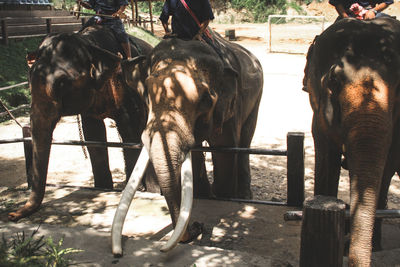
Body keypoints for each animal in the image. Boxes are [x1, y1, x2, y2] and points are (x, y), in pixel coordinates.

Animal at [6, 25, 153, 222]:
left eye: (62, 84)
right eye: (28, 81)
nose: (12, 215)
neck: (89, 43)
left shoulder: (127, 86)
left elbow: (129, 130)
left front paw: (139, 189)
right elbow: (93, 134)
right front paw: (102, 188)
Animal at [111, 29, 264, 255]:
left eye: (206, 100)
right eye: (147, 93)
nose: (197, 226)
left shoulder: (230, 106)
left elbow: (223, 148)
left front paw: (222, 197)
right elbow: (195, 151)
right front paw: (204, 196)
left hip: (256, 97)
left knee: (245, 139)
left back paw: (244, 196)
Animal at [304, 17, 400, 266]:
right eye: (334, 81)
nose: (348, 252)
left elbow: (387, 165)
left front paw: (373, 248)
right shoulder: (318, 112)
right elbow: (326, 154)